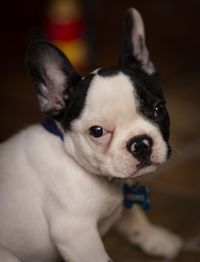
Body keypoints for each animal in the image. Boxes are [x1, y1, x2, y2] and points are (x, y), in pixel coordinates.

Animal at [0, 8, 183, 262]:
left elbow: (135, 219)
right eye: (97, 132)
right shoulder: (76, 233)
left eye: (159, 109)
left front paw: (156, 239)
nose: (140, 143)